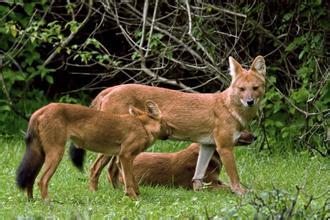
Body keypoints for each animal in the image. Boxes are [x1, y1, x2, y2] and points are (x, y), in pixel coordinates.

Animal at [15, 101, 165, 199]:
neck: (143, 126)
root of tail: (40, 110)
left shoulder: (121, 158)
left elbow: (132, 178)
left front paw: (137, 193)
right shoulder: (125, 155)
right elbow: (128, 180)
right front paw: (133, 197)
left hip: (40, 155)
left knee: (30, 178)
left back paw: (31, 200)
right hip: (56, 153)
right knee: (42, 180)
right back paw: (48, 202)